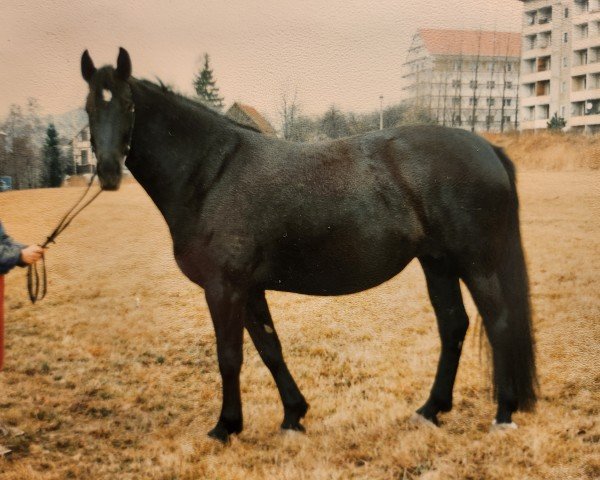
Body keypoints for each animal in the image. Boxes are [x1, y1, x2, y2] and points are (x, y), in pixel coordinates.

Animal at [81, 48, 540, 442]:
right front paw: (292, 416)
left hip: (478, 264)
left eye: (128, 105)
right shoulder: (249, 289)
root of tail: (486, 146)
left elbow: (230, 357)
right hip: (438, 262)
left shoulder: (223, 288)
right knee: (453, 326)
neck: (212, 174)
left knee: (498, 324)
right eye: (88, 108)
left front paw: (226, 427)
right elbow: (270, 349)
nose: (107, 171)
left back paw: (503, 413)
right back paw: (431, 410)